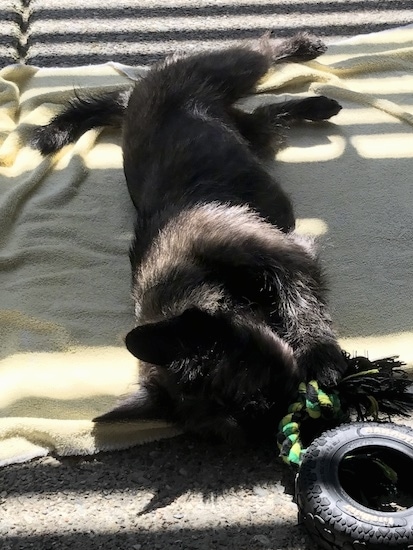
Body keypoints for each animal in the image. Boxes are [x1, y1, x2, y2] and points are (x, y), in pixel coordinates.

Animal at [33, 32, 346, 444]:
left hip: (231, 70)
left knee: (262, 50)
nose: (280, 427)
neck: (183, 279)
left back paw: (304, 47)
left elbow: (301, 304)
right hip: (252, 133)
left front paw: (320, 356)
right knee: (271, 113)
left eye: (251, 390)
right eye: (232, 432)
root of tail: (134, 94)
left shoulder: (285, 256)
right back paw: (317, 104)